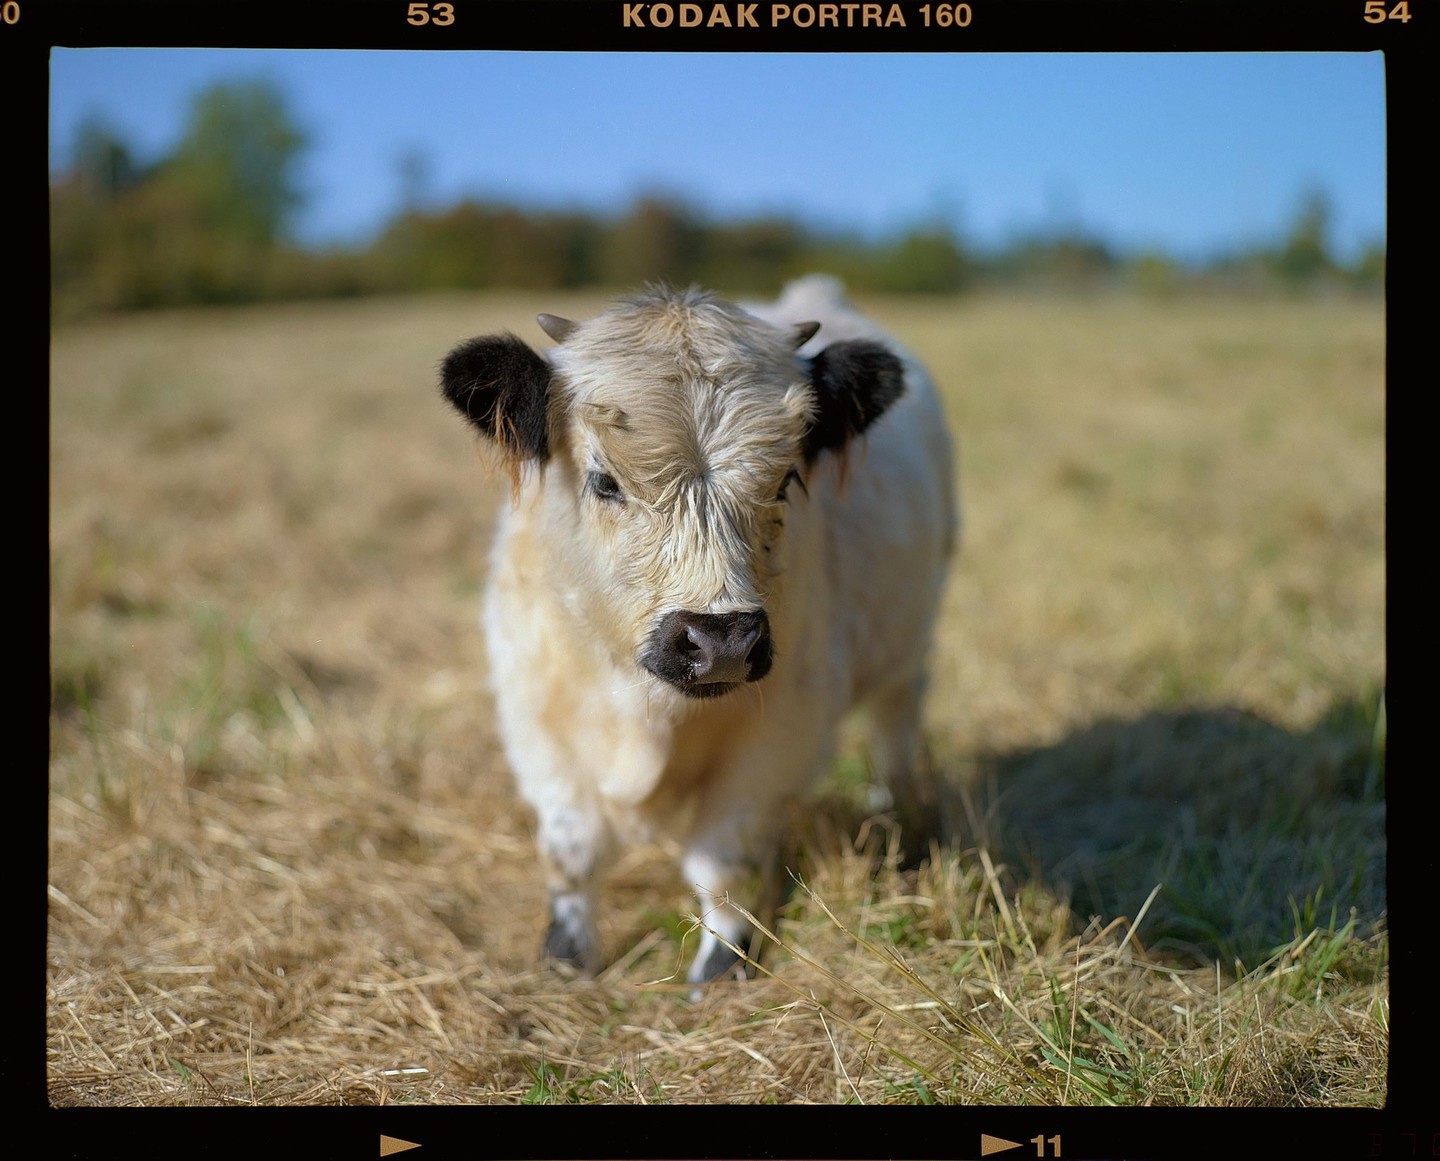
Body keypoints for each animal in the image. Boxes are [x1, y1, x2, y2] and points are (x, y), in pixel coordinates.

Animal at [439, 274, 957, 991]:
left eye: (786, 479)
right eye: (605, 481)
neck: (641, 710)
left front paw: (721, 965)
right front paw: (566, 958)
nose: (720, 642)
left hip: (908, 648)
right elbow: (571, 853)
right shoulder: (534, 718)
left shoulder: (779, 737)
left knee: (894, 731)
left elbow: (723, 861)